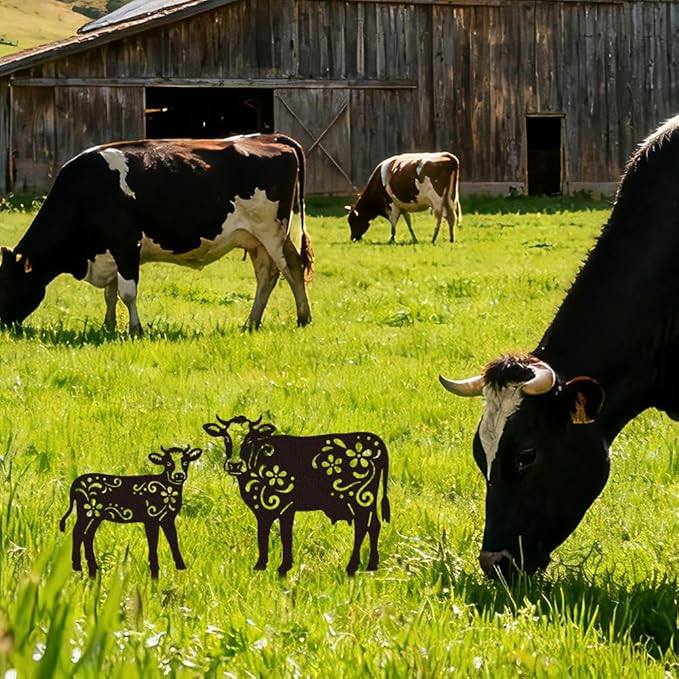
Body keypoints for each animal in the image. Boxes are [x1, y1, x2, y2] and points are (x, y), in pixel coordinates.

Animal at [0, 133, 313, 335]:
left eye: (6, 285)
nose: (1, 325)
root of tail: (272, 138)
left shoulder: (126, 243)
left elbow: (126, 292)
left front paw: (135, 329)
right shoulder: (108, 252)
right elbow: (110, 294)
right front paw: (108, 326)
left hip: (272, 230)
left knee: (292, 268)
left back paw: (303, 318)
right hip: (255, 239)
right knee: (267, 274)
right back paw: (251, 323)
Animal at [59, 445, 202, 578]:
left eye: (185, 462)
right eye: (167, 463)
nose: (179, 475)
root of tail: (75, 484)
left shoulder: (167, 518)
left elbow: (173, 539)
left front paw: (181, 566)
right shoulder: (151, 517)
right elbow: (153, 542)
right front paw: (154, 569)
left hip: (96, 515)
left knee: (87, 534)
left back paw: (92, 566)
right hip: (85, 511)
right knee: (77, 532)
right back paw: (77, 566)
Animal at [202, 415, 390, 575]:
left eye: (250, 439)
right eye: (226, 438)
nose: (234, 465)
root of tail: (376, 441)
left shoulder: (272, 507)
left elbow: (268, 534)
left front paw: (264, 566)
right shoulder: (284, 509)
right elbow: (282, 535)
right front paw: (282, 566)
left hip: (360, 498)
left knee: (362, 526)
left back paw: (352, 566)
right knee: (374, 525)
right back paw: (371, 565)